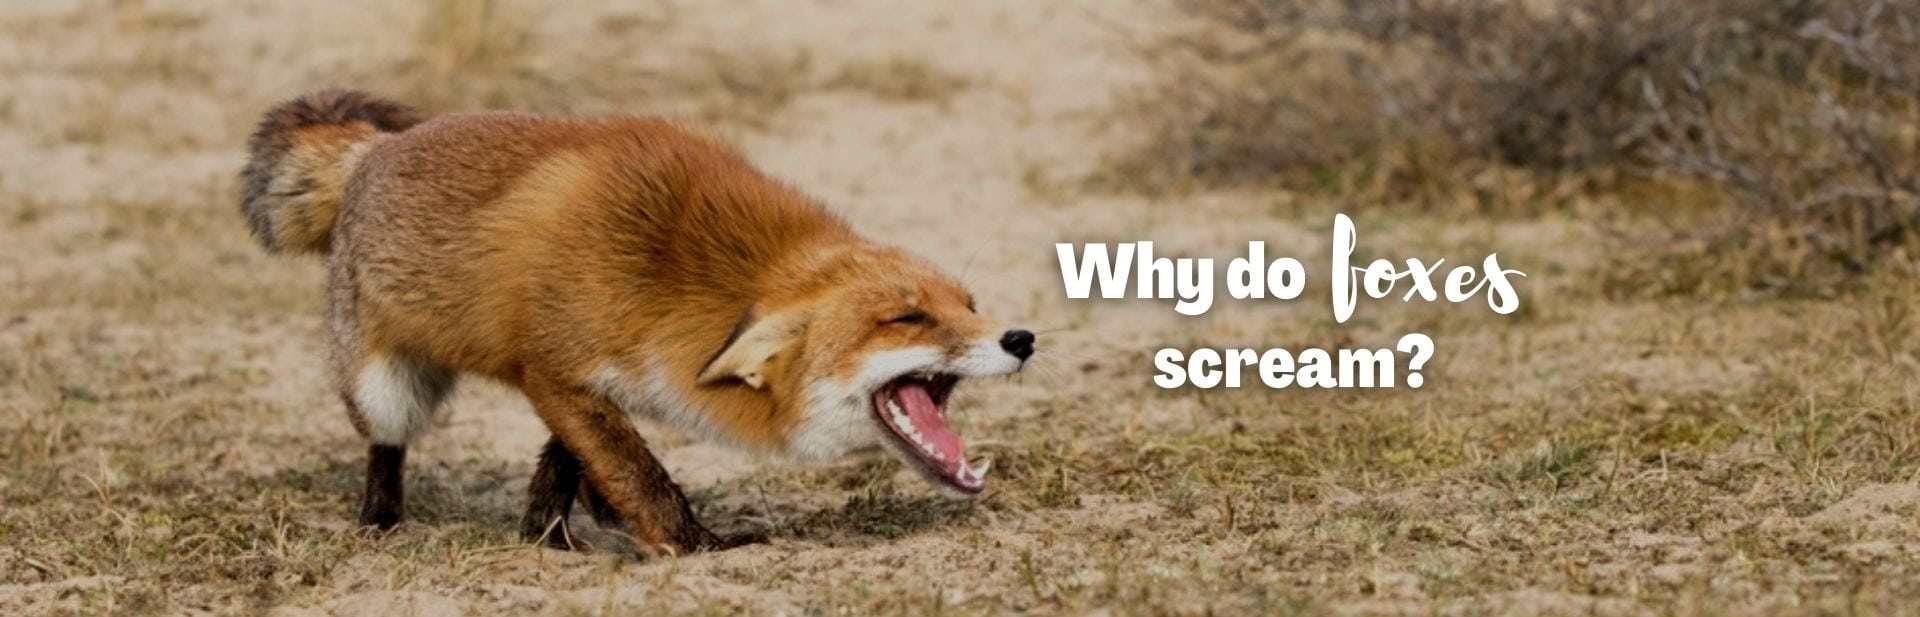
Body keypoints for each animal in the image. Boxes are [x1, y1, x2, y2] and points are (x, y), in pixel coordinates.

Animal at [239, 90, 1036, 555]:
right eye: (906, 318)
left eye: (968, 304)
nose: (1022, 337)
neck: (673, 277)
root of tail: (372, 149)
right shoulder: (558, 368)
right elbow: (638, 471)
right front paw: (696, 544)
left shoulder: (577, 381)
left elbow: (582, 460)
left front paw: (550, 533)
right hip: (386, 388)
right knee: (386, 442)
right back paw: (380, 521)